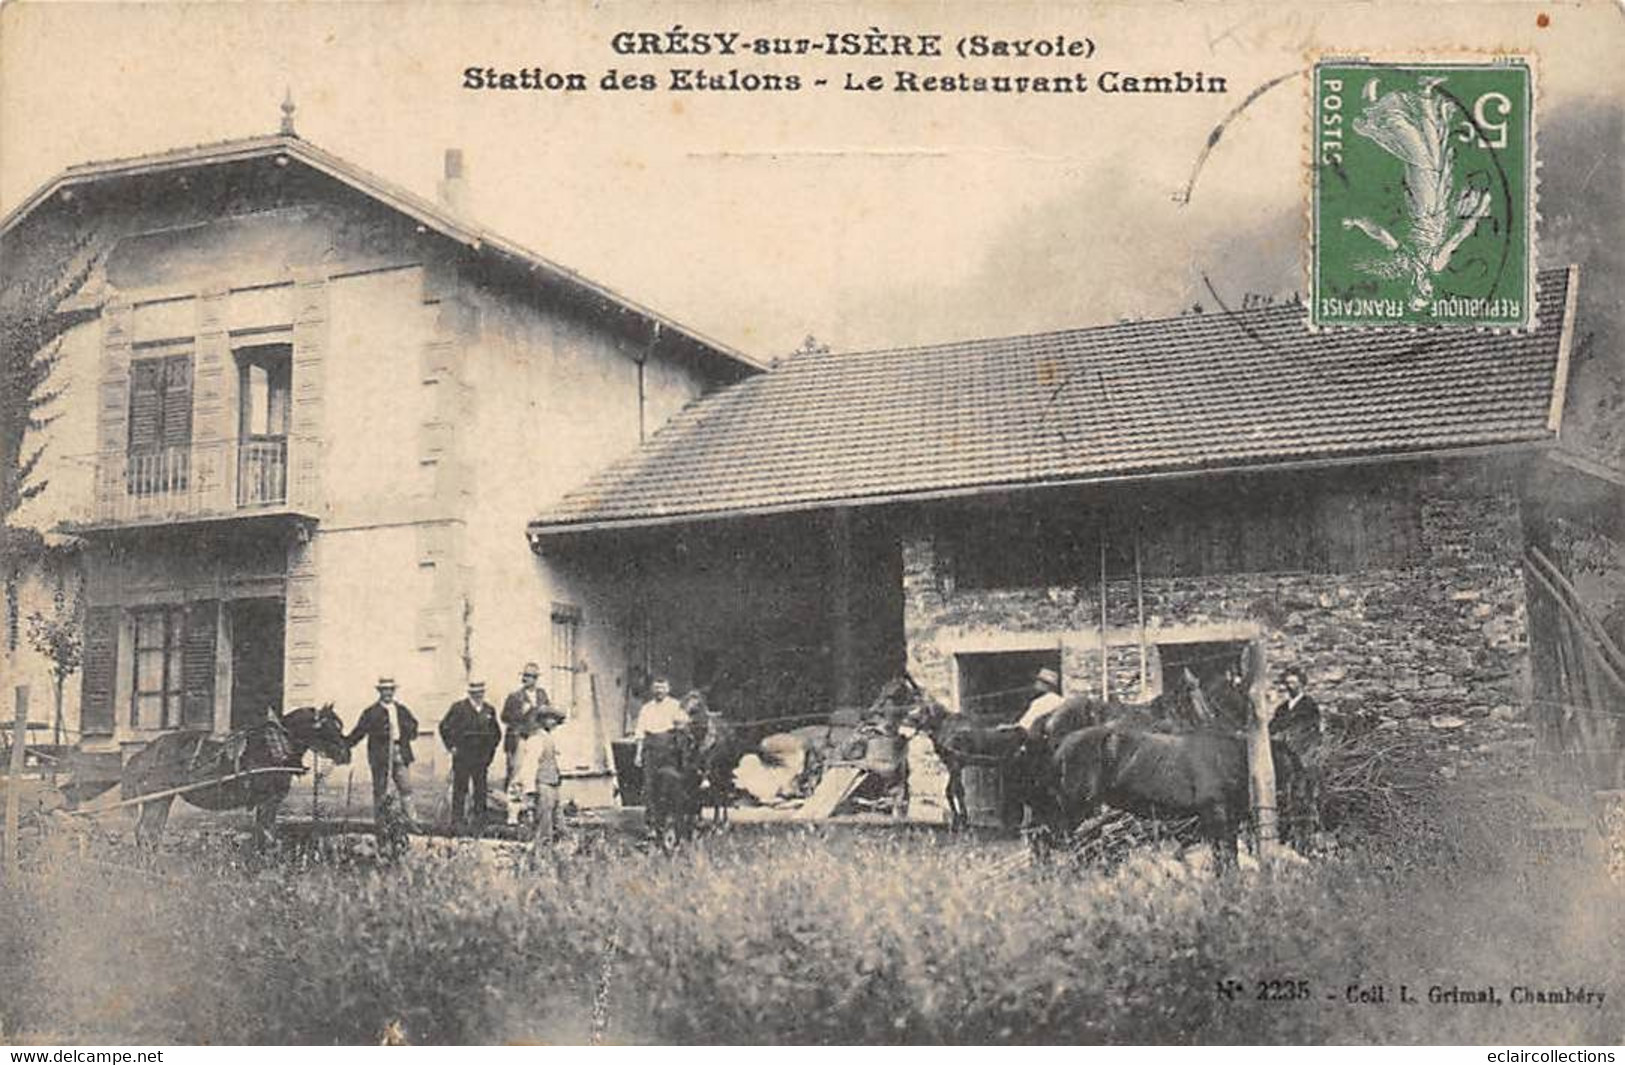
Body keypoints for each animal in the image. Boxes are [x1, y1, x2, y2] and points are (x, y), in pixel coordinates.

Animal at [118, 708, 351, 852]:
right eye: (327, 728)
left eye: (339, 726)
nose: (346, 754)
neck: (274, 747)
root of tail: (144, 752)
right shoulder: (268, 801)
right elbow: (266, 835)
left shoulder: (268, 803)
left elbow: (265, 834)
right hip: (156, 799)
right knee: (146, 832)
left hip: (162, 799)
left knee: (151, 832)